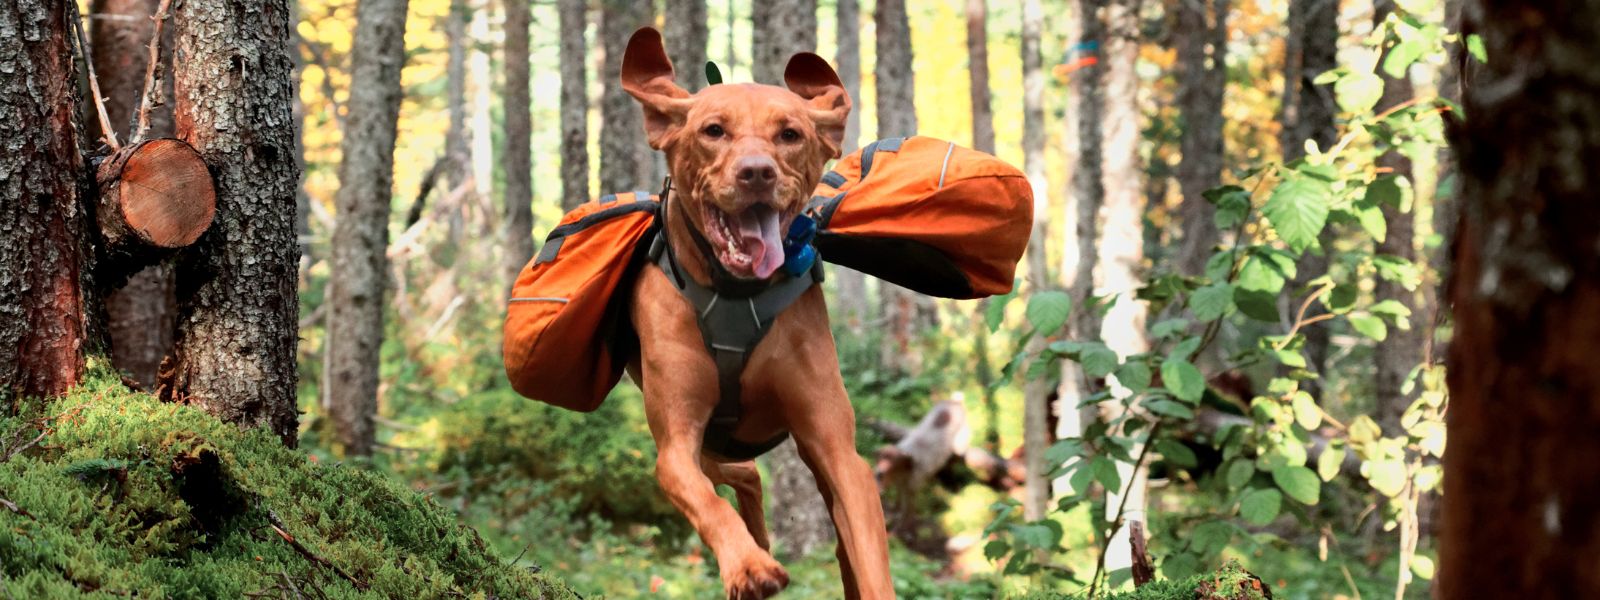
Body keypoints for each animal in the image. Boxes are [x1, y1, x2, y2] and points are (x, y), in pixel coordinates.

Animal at [617, 29, 896, 600]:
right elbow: (706, 502)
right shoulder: (675, 445)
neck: (734, 292)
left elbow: (869, 556)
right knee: (739, 473)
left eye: (789, 134)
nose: (756, 173)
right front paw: (747, 566)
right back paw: (757, 547)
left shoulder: (838, 450)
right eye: (713, 130)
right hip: (699, 444)